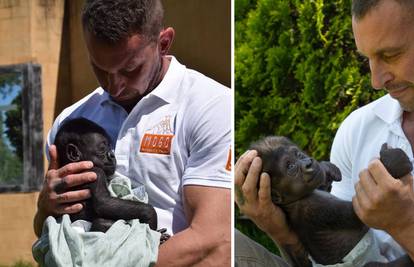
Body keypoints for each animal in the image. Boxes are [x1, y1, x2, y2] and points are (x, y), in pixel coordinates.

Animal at [251, 137, 412, 267]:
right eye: (290, 167)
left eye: (299, 155)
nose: (308, 162)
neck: (294, 200)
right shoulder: (313, 207)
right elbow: (360, 210)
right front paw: (394, 162)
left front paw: (327, 168)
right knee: (372, 265)